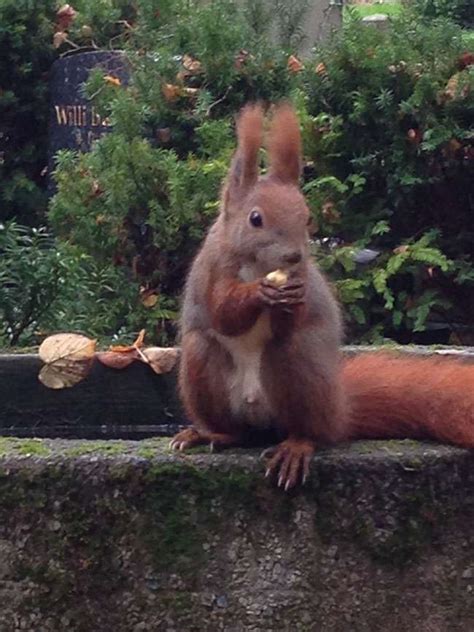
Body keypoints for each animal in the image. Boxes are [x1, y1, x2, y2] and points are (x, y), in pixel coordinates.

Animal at [170, 102, 474, 488]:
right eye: (255, 219)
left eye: (306, 216)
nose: (294, 257)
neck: (258, 265)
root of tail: (339, 410)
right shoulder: (214, 272)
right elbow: (224, 312)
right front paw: (259, 293)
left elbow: (291, 316)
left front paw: (291, 296)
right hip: (201, 368)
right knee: (237, 428)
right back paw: (211, 434)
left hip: (300, 365)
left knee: (308, 428)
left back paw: (295, 448)